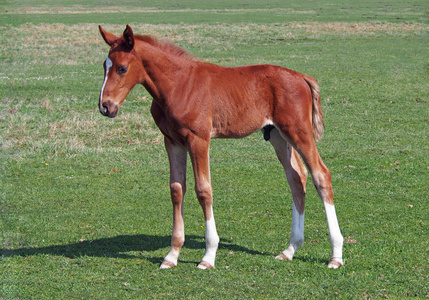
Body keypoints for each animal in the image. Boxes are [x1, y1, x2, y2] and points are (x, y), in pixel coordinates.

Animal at [98, 25, 344, 270]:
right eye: (104, 66)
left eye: (122, 68)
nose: (105, 107)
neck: (178, 85)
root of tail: (302, 77)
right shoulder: (172, 141)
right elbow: (177, 190)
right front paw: (172, 255)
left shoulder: (198, 139)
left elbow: (203, 190)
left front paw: (208, 256)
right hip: (278, 135)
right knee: (297, 177)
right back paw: (290, 249)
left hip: (298, 132)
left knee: (321, 175)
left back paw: (336, 255)